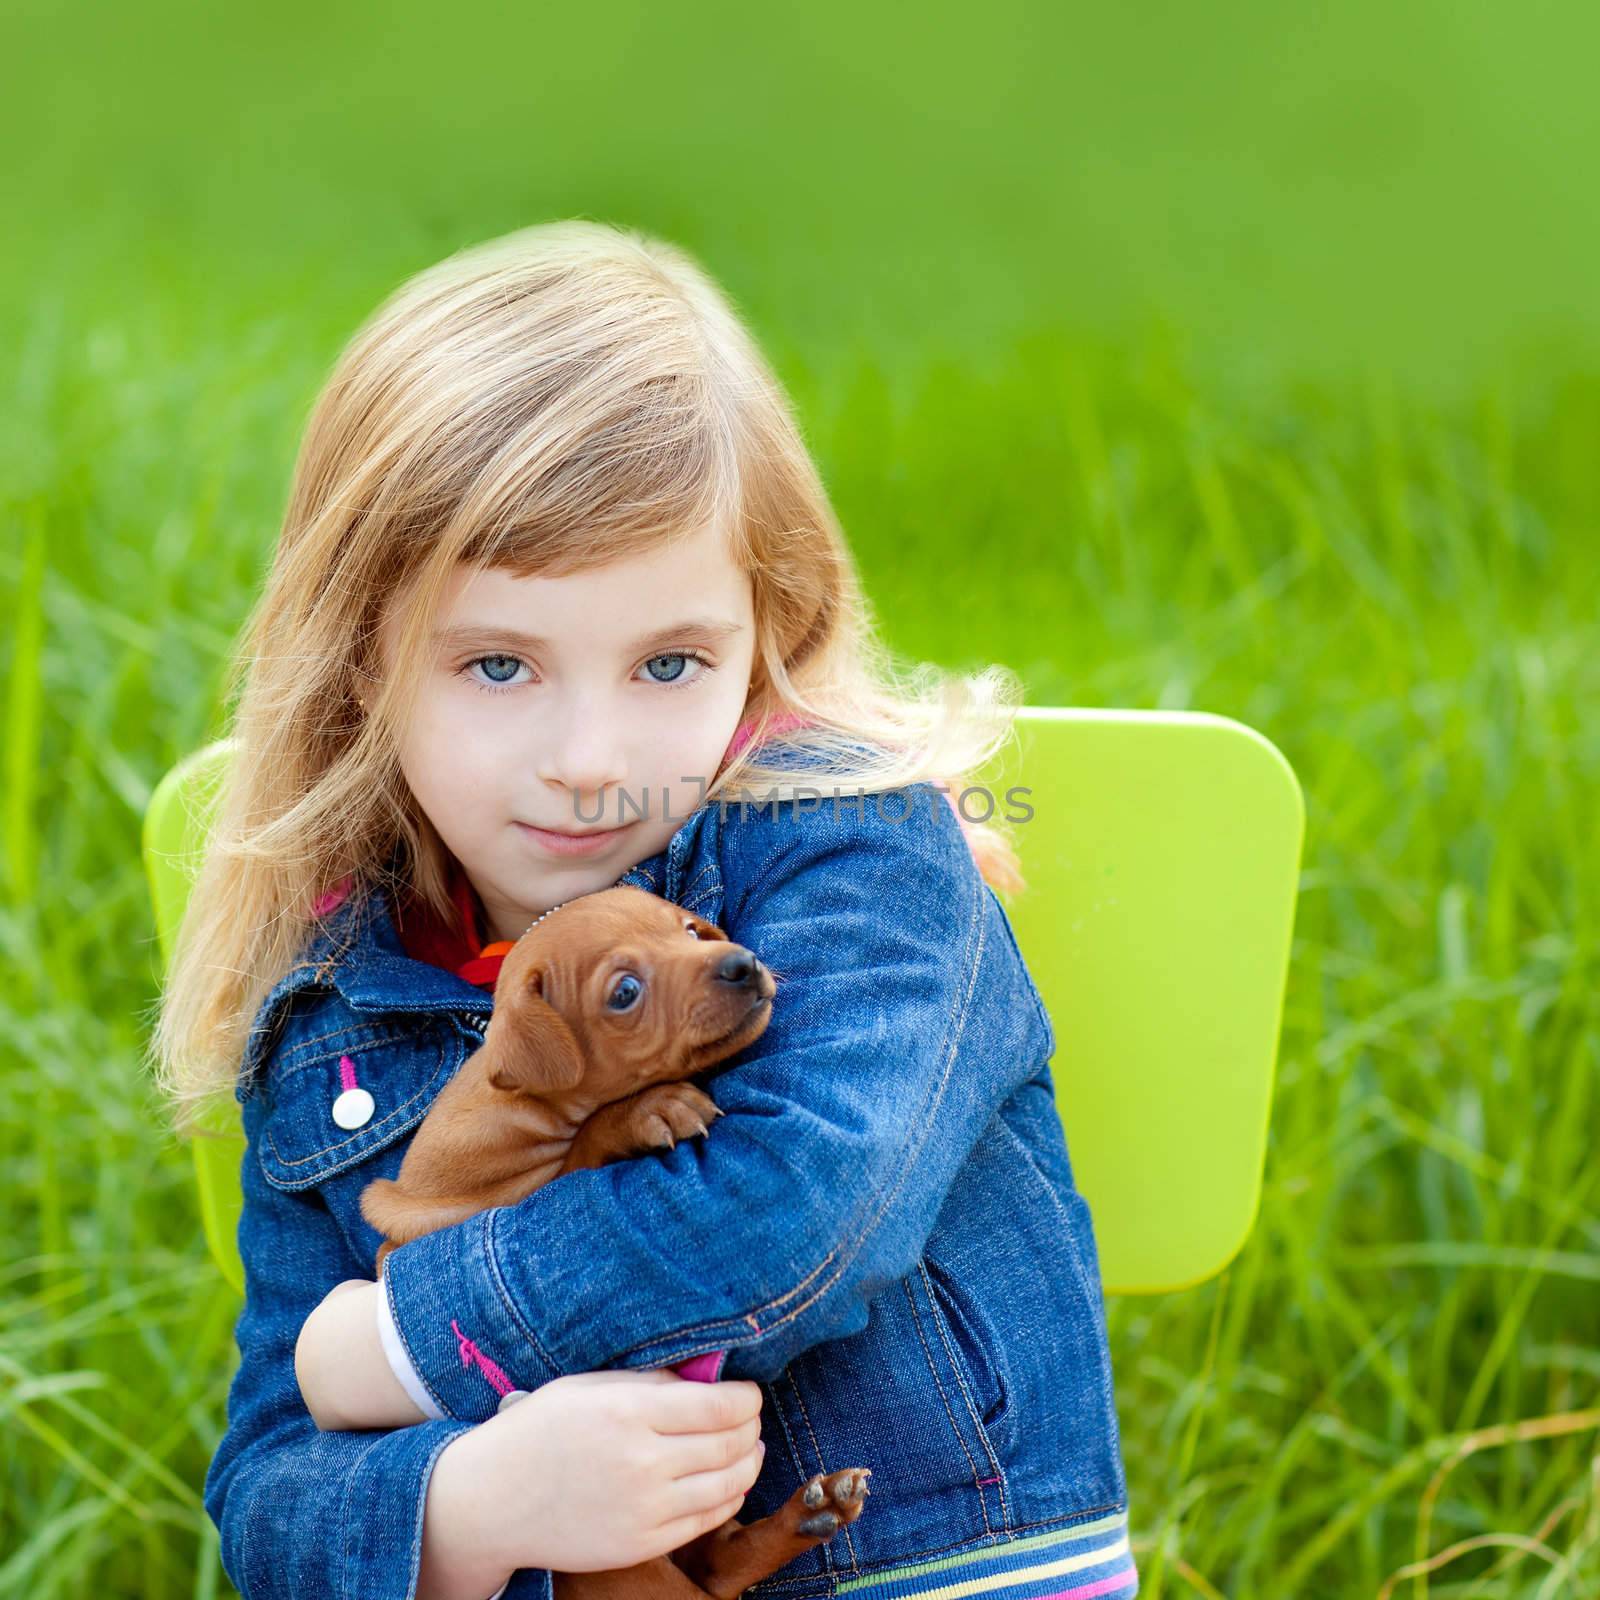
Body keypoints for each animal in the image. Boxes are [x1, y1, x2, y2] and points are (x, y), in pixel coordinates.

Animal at [361, 889, 870, 1600]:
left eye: (692, 931)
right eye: (625, 992)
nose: (741, 963)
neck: (530, 1111)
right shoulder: (486, 1211)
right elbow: (585, 1147)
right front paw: (647, 1111)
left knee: (719, 1564)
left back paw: (812, 1513)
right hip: (623, 1572)